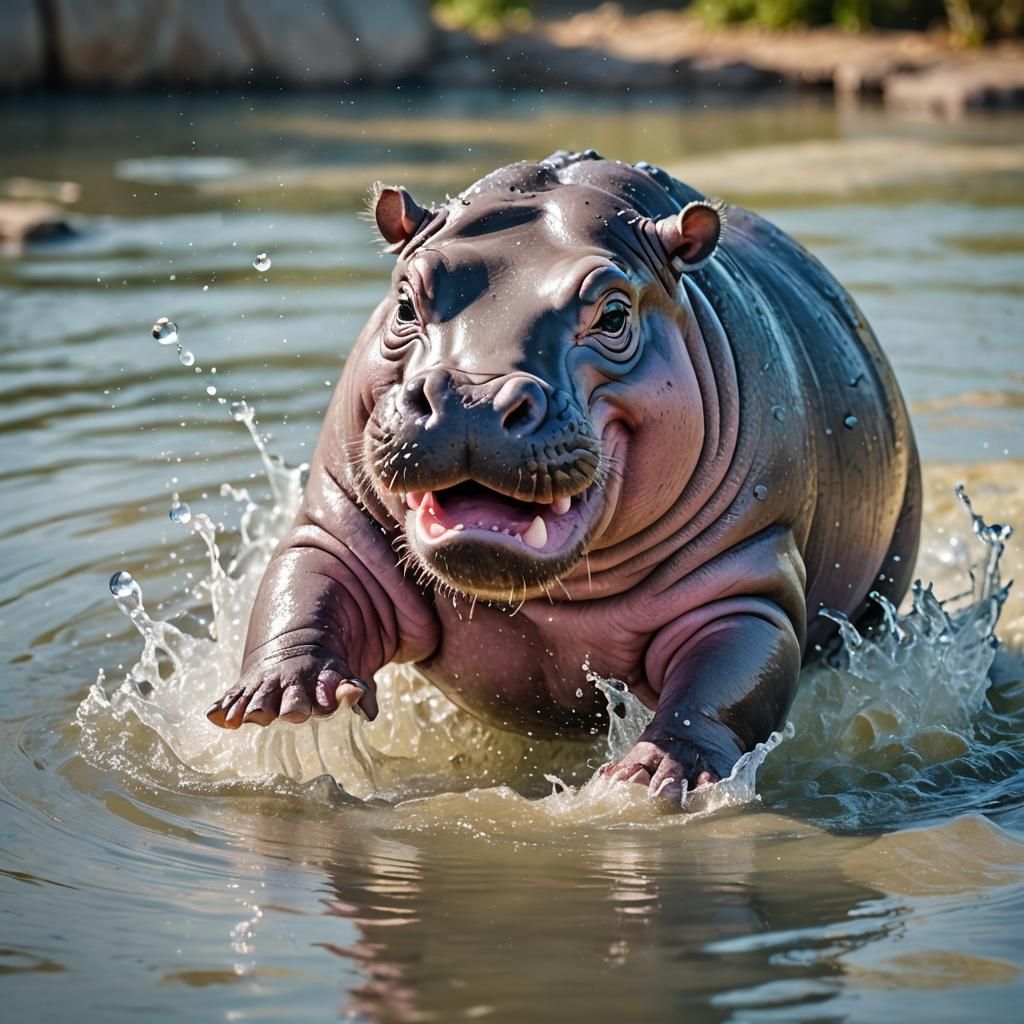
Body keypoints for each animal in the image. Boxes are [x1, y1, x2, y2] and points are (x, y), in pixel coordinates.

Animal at [206, 151, 921, 801]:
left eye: (613, 314)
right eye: (406, 300)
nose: (471, 398)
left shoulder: (747, 576)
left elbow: (727, 677)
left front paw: (659, 772)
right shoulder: (341, 519)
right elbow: (308, 583)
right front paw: (283, 696)